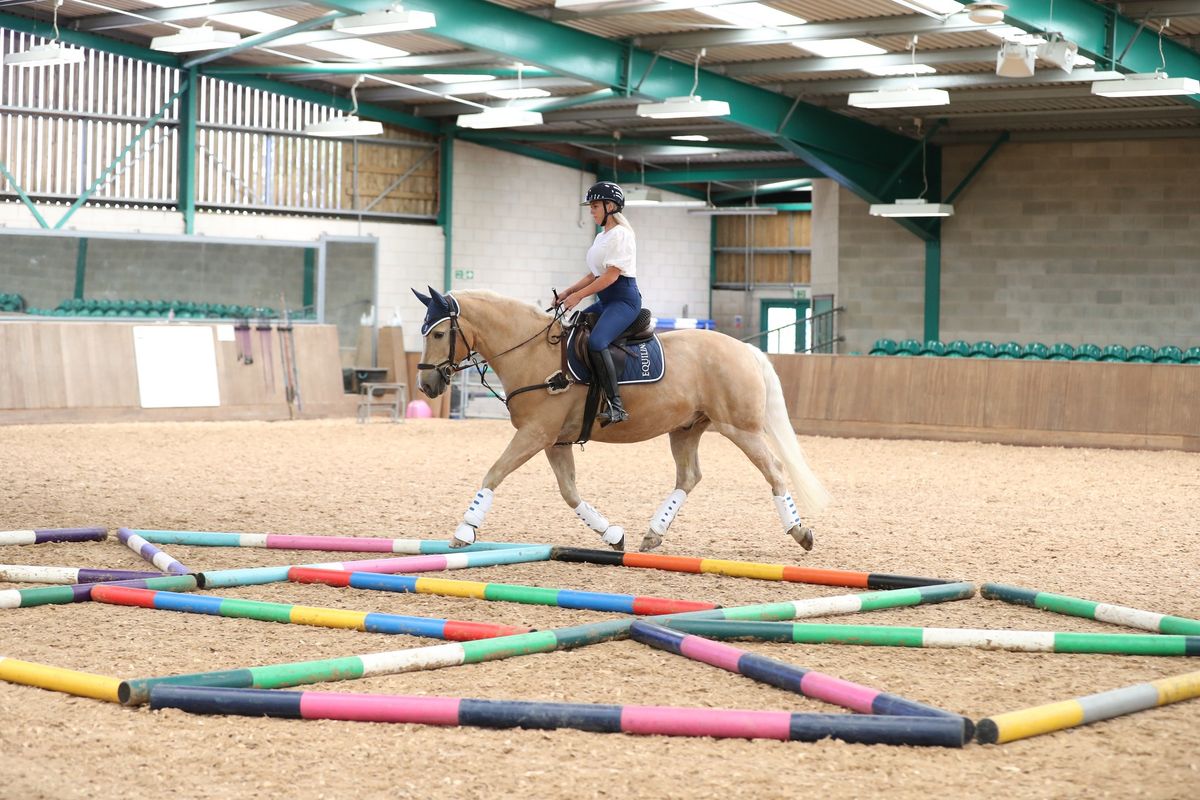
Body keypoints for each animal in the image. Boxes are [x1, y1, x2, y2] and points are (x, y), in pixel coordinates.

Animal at [410, 286, 825, 551]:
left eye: (440, 333)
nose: (427, 384)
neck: (532, 353)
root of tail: (744, 349)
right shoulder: (555, 441)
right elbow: (570, 492)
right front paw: (612, 534)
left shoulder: (535, 434)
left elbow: (493, 473)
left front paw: (465, 530)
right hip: (686, 429)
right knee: (689, 477)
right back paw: (654, 533)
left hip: (740, 428)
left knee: (773, 469)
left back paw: (799, 531)